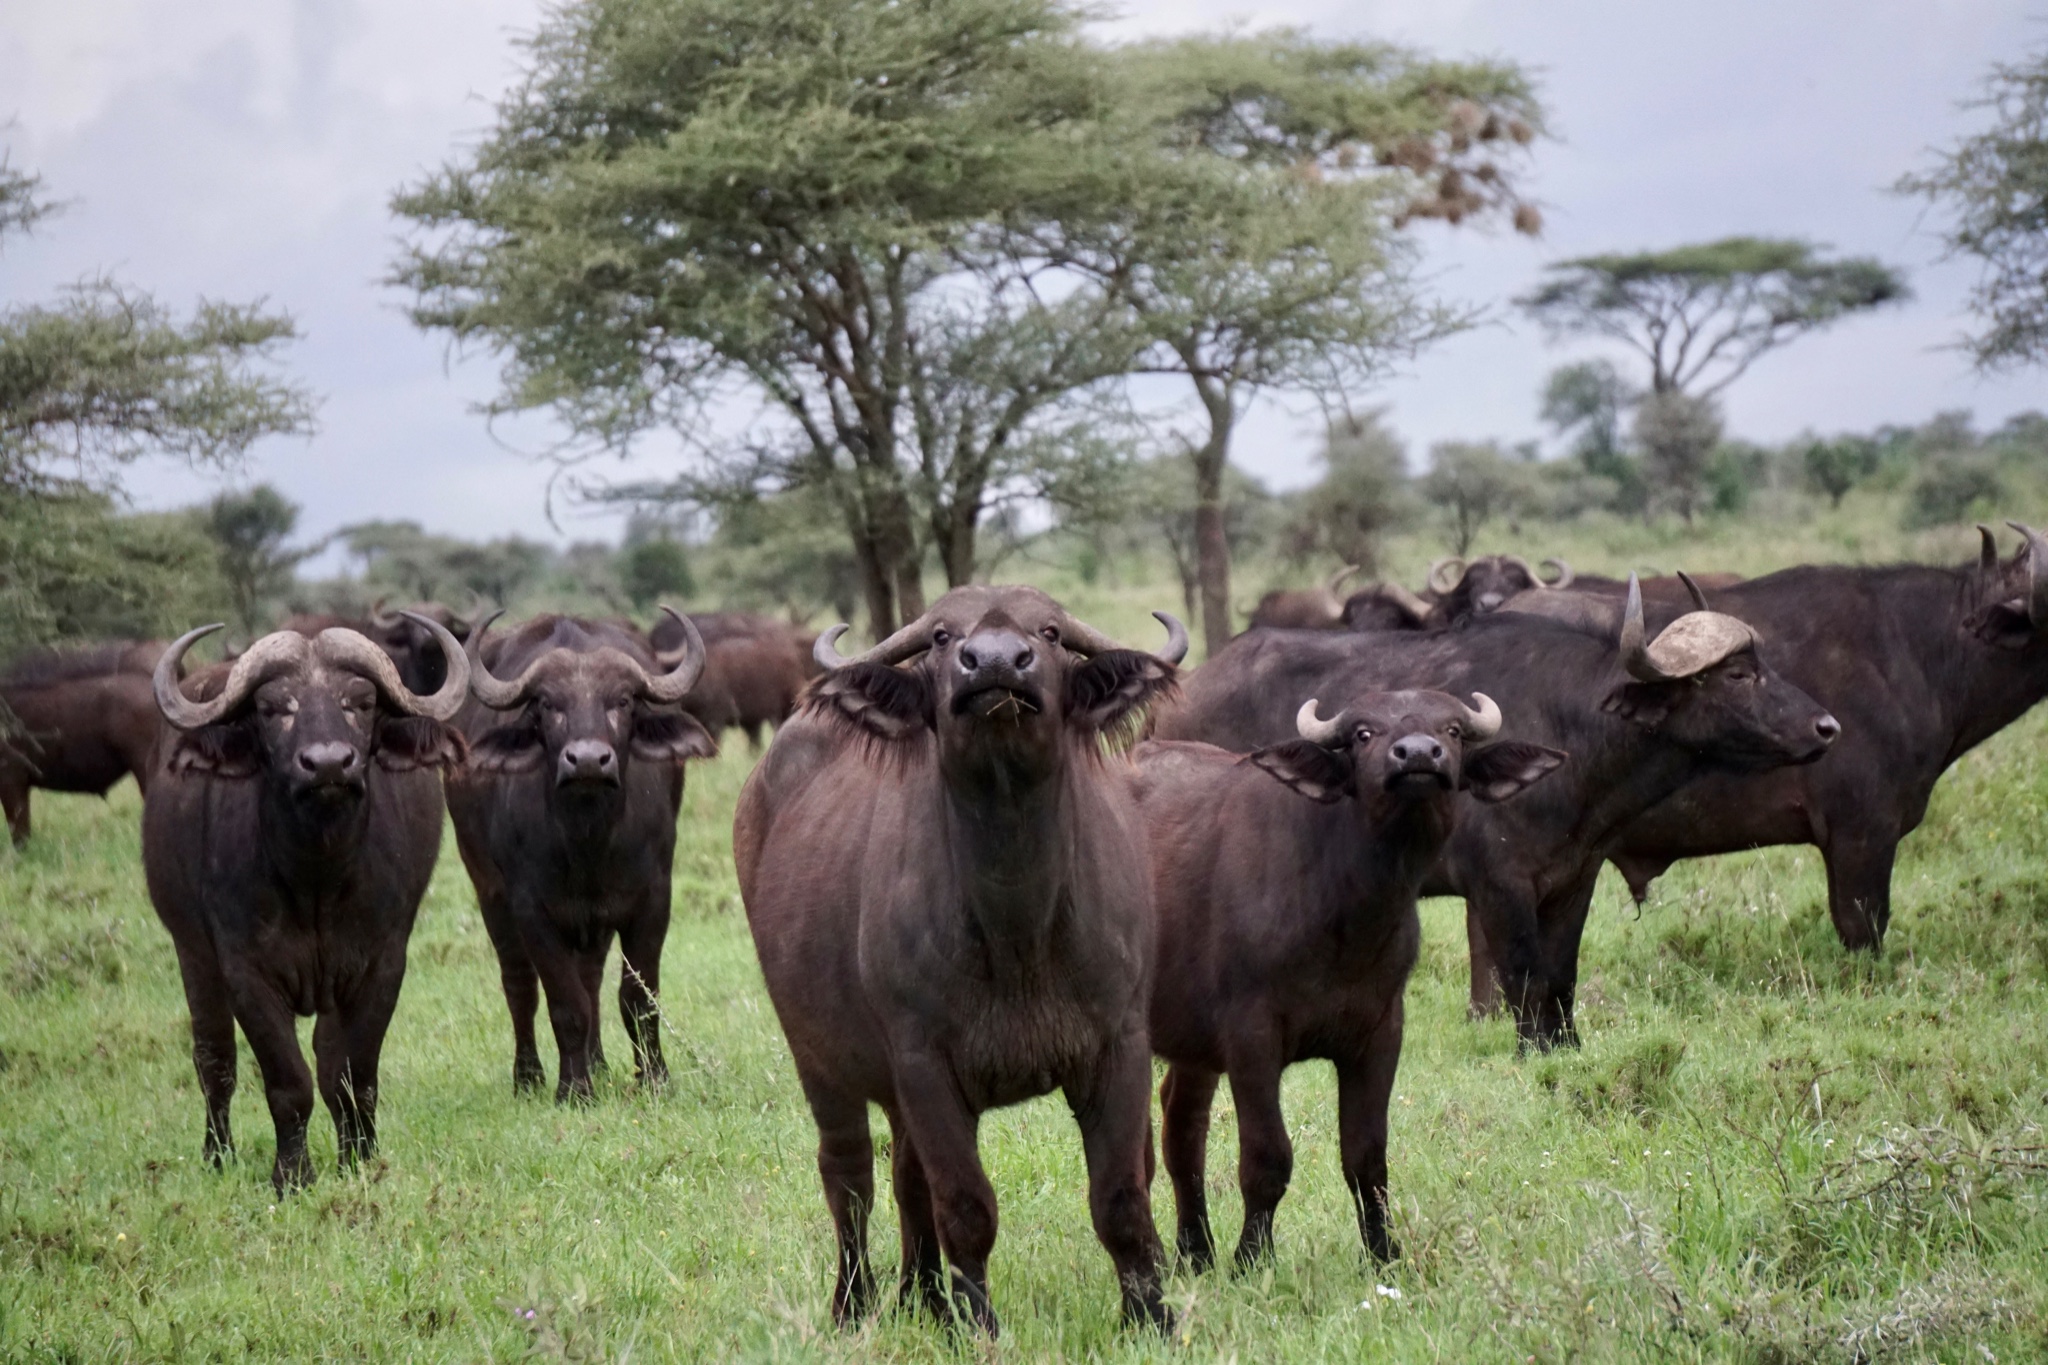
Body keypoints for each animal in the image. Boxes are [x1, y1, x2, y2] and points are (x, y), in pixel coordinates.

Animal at [141, 613, 468, 1186]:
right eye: (273, 708)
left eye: (360, 702)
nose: (329, 765)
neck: (317, 875)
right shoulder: (245, 972)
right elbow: (288, 1082)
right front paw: (292, 1175)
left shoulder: (381, 964)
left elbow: (351, 1073)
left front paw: (360, 1158)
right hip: (191, 952)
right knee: (214, 1060)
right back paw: (217, 1154)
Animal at [444, 613, 716, 1105]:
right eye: (548, 704)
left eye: (623, 701)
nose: (588, 760)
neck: (588, 837)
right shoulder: (532, 910)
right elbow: (564, 1003)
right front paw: (573, 1089)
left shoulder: (653, 899)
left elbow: (638, 998)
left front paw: (654, 1079)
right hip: (489, 893)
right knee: (519, 984)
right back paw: (529, 1077)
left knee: (590, 979)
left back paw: (600, 1065)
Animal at [733, 585, 1187, 1334]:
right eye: (944, 636)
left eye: (1050, 632)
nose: (996, 663)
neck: (1017, 927)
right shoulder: (924, 1063)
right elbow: (967, 1205)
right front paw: (980, 1322)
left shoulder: (1120, 1044)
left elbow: (1122, 1194)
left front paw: (1150, 1315)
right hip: (819, 1059)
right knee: (850, 1175)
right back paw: (855, 1302)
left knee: (905, 1175)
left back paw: (923, 1296)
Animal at [1155, 577, 1843, 1047]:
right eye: (1738, 673)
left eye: (1760, 664)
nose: (1827, 727)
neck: (1571, 733)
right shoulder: (1500, 886)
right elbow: (1522, 976)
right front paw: (1530, 1051)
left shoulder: (1574, 880)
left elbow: (1561, 977)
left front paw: (1566, 1047)